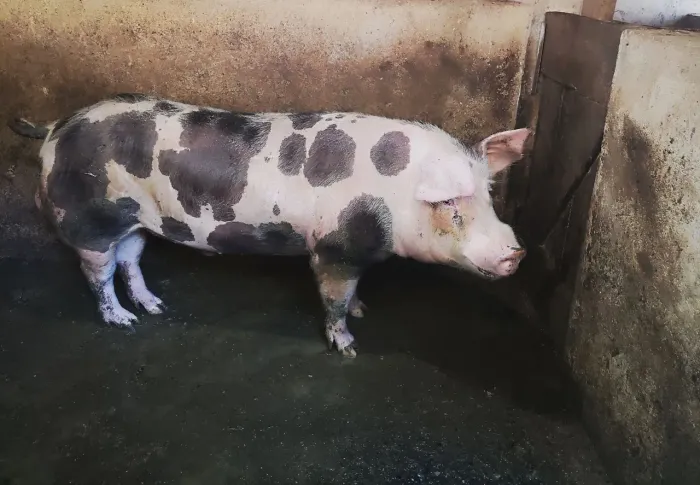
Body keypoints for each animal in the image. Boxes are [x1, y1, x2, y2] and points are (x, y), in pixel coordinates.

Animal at [9, 93, 530, 358]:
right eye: (451, 203)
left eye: (488, 196)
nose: (517, 252)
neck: (394, 194)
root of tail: (54, 127)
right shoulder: (333, 248)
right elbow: (333, 297)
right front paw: (348, 345)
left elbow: (354, 293)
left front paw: (363, 310)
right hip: (86, 220)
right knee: (96, 273)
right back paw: (122, 320)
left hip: (137, 222)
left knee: (129, 261)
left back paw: (154, 307)